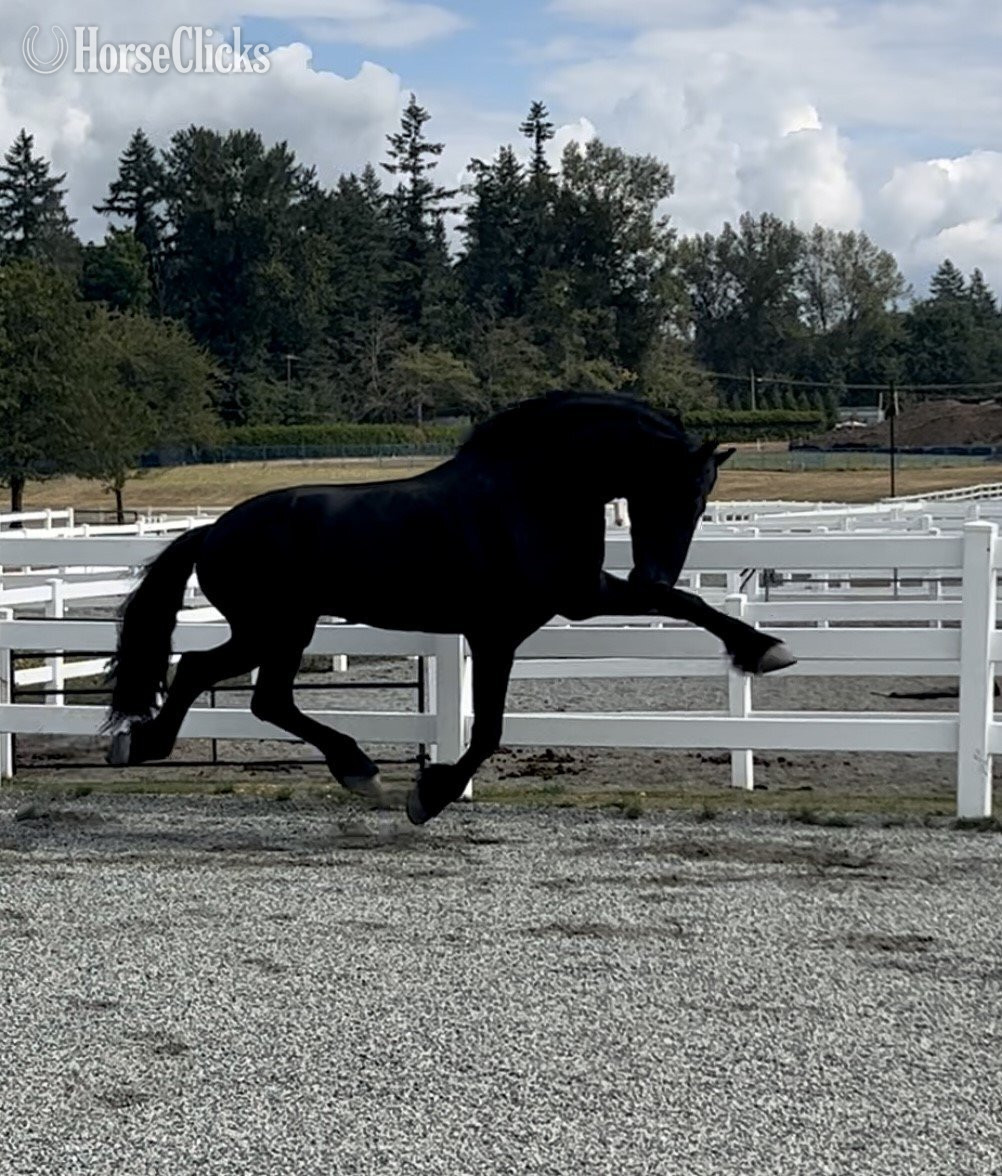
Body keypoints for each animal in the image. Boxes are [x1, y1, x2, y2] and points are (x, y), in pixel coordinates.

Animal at [105, 391, 796, 823]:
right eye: (673, 491)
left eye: (703, 500)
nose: (652, 565)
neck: (532, 492)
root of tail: (212, 531)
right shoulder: (500, 631)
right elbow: (487, 730)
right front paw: (430, 796)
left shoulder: (580, 595)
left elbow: (684, 602)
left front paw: (764, 650)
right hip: (278, 628)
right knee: (237, 686)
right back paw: (352, 768)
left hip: (274, 631)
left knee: (226, 681)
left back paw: (152, 746)